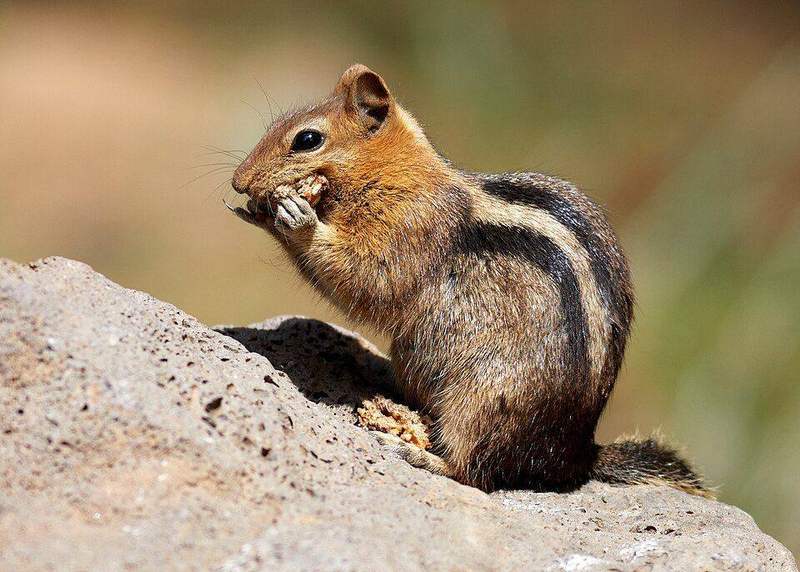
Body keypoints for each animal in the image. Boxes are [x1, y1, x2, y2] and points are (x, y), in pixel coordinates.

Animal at [229, 64, 709, 497]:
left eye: (307, 140)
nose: (239, 182)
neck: (397, 172)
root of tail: (573, 456)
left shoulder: (410, 229)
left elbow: (368, 279)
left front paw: (295, 218)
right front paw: (257, 211)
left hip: (481, 400)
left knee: (473, 474)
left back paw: (414, 452)